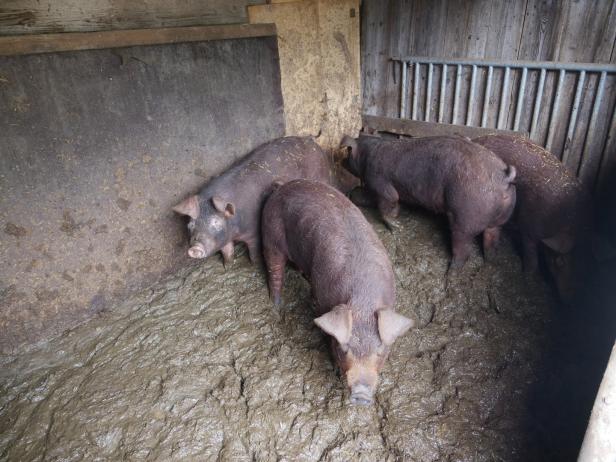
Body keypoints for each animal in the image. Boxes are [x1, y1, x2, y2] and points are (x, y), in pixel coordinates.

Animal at [171, 137, 334, 266]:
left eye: (216, 222)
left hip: (322, 175)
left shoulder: (254, 231)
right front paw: (228, 265)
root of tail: (310, 140)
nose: (194, 249)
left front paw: (253, 264)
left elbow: (253, 250)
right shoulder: (225, 238)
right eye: (190, 225)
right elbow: (227, 251)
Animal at [262, 179, 414, 406]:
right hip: (271, 232)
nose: (361, 394)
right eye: (344, 350)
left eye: (380, 351)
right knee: (275, 269)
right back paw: (277, 304)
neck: (363, 300)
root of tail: (281, 186)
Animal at [340, 134, 516, 268]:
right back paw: (490, 261)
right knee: (491, 237)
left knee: (462, 246)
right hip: (501, 218)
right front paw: (352, 194)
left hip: (466, 214)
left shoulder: (380, 182)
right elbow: (372, 198)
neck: (367, 157)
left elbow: (390, 202)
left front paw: (397, 227)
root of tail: (503, 177)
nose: (340, 160)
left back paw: (451, 268)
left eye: (348, 153)